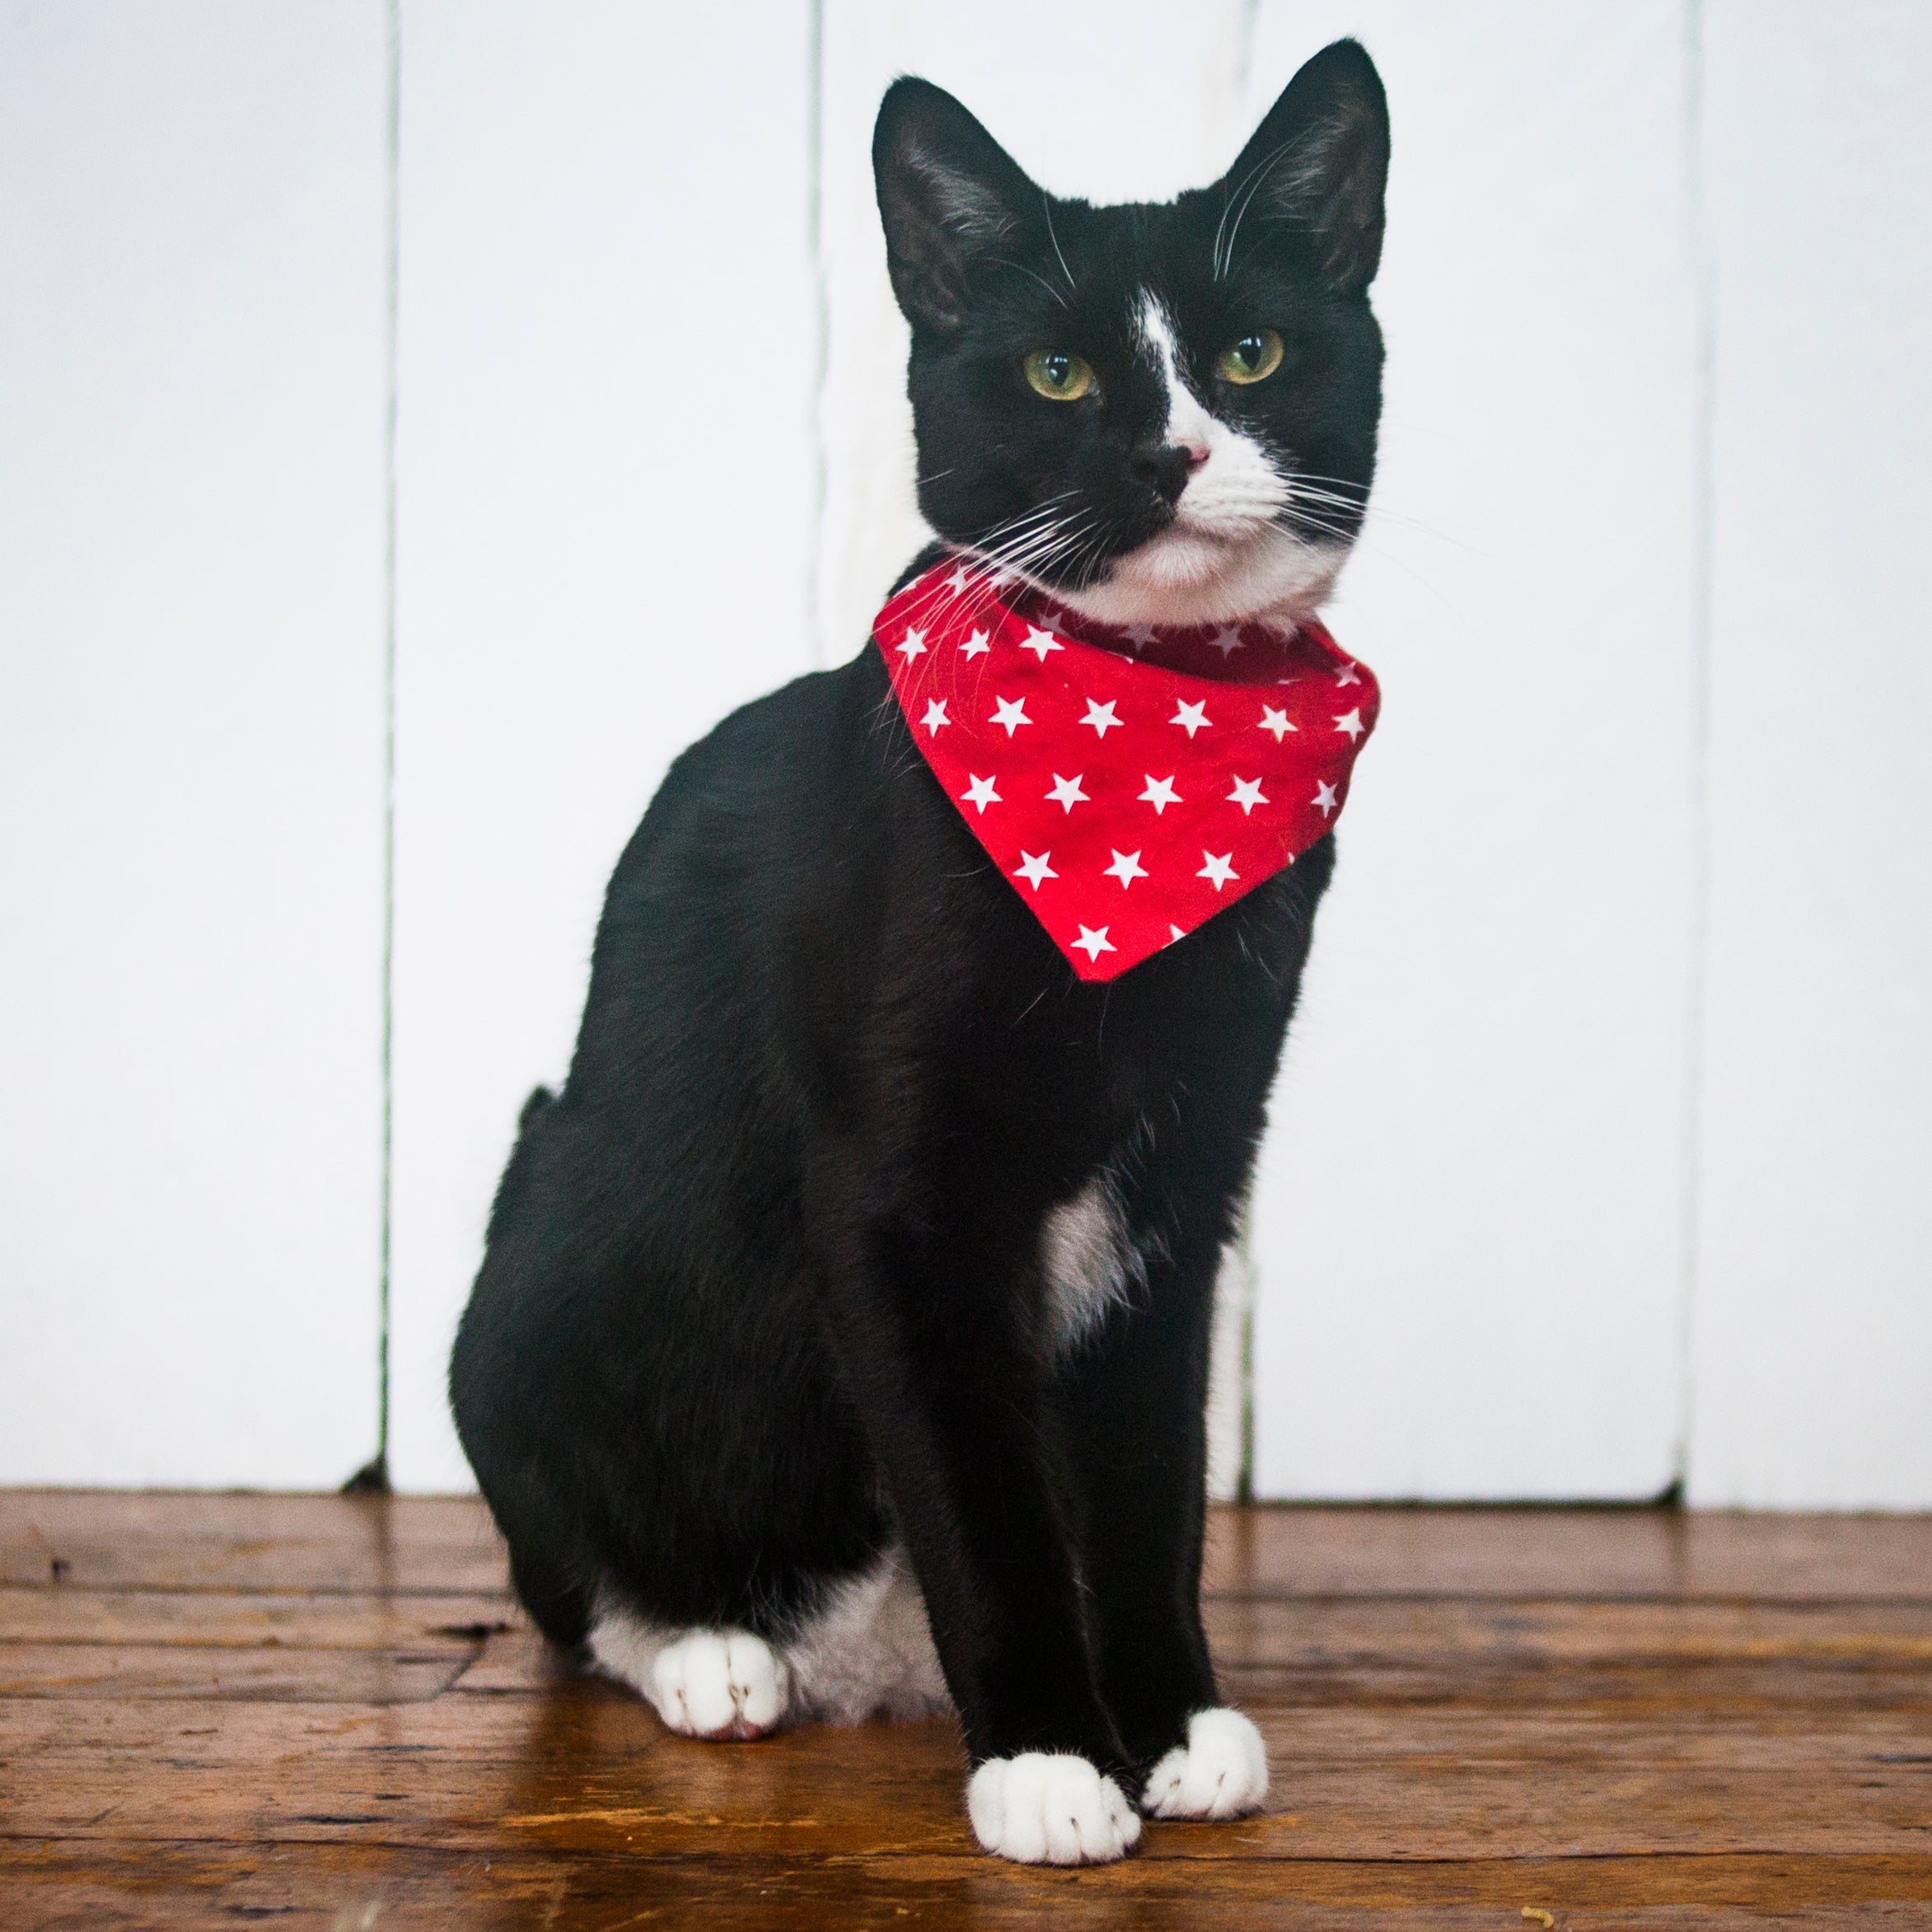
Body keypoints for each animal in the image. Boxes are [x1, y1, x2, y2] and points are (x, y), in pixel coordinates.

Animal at [450, 38, 1388, 1867]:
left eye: (1249, 353)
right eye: (1052, 372)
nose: (1166, 452)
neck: (1142, 733)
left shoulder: (1186, 1175)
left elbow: (1147, 1474)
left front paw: (1168, 1720)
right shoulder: (897, 1192)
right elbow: (980, 1486)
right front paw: (1046, 1754)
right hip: (539, 1251)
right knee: (560, 1574)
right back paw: (708, 1650)